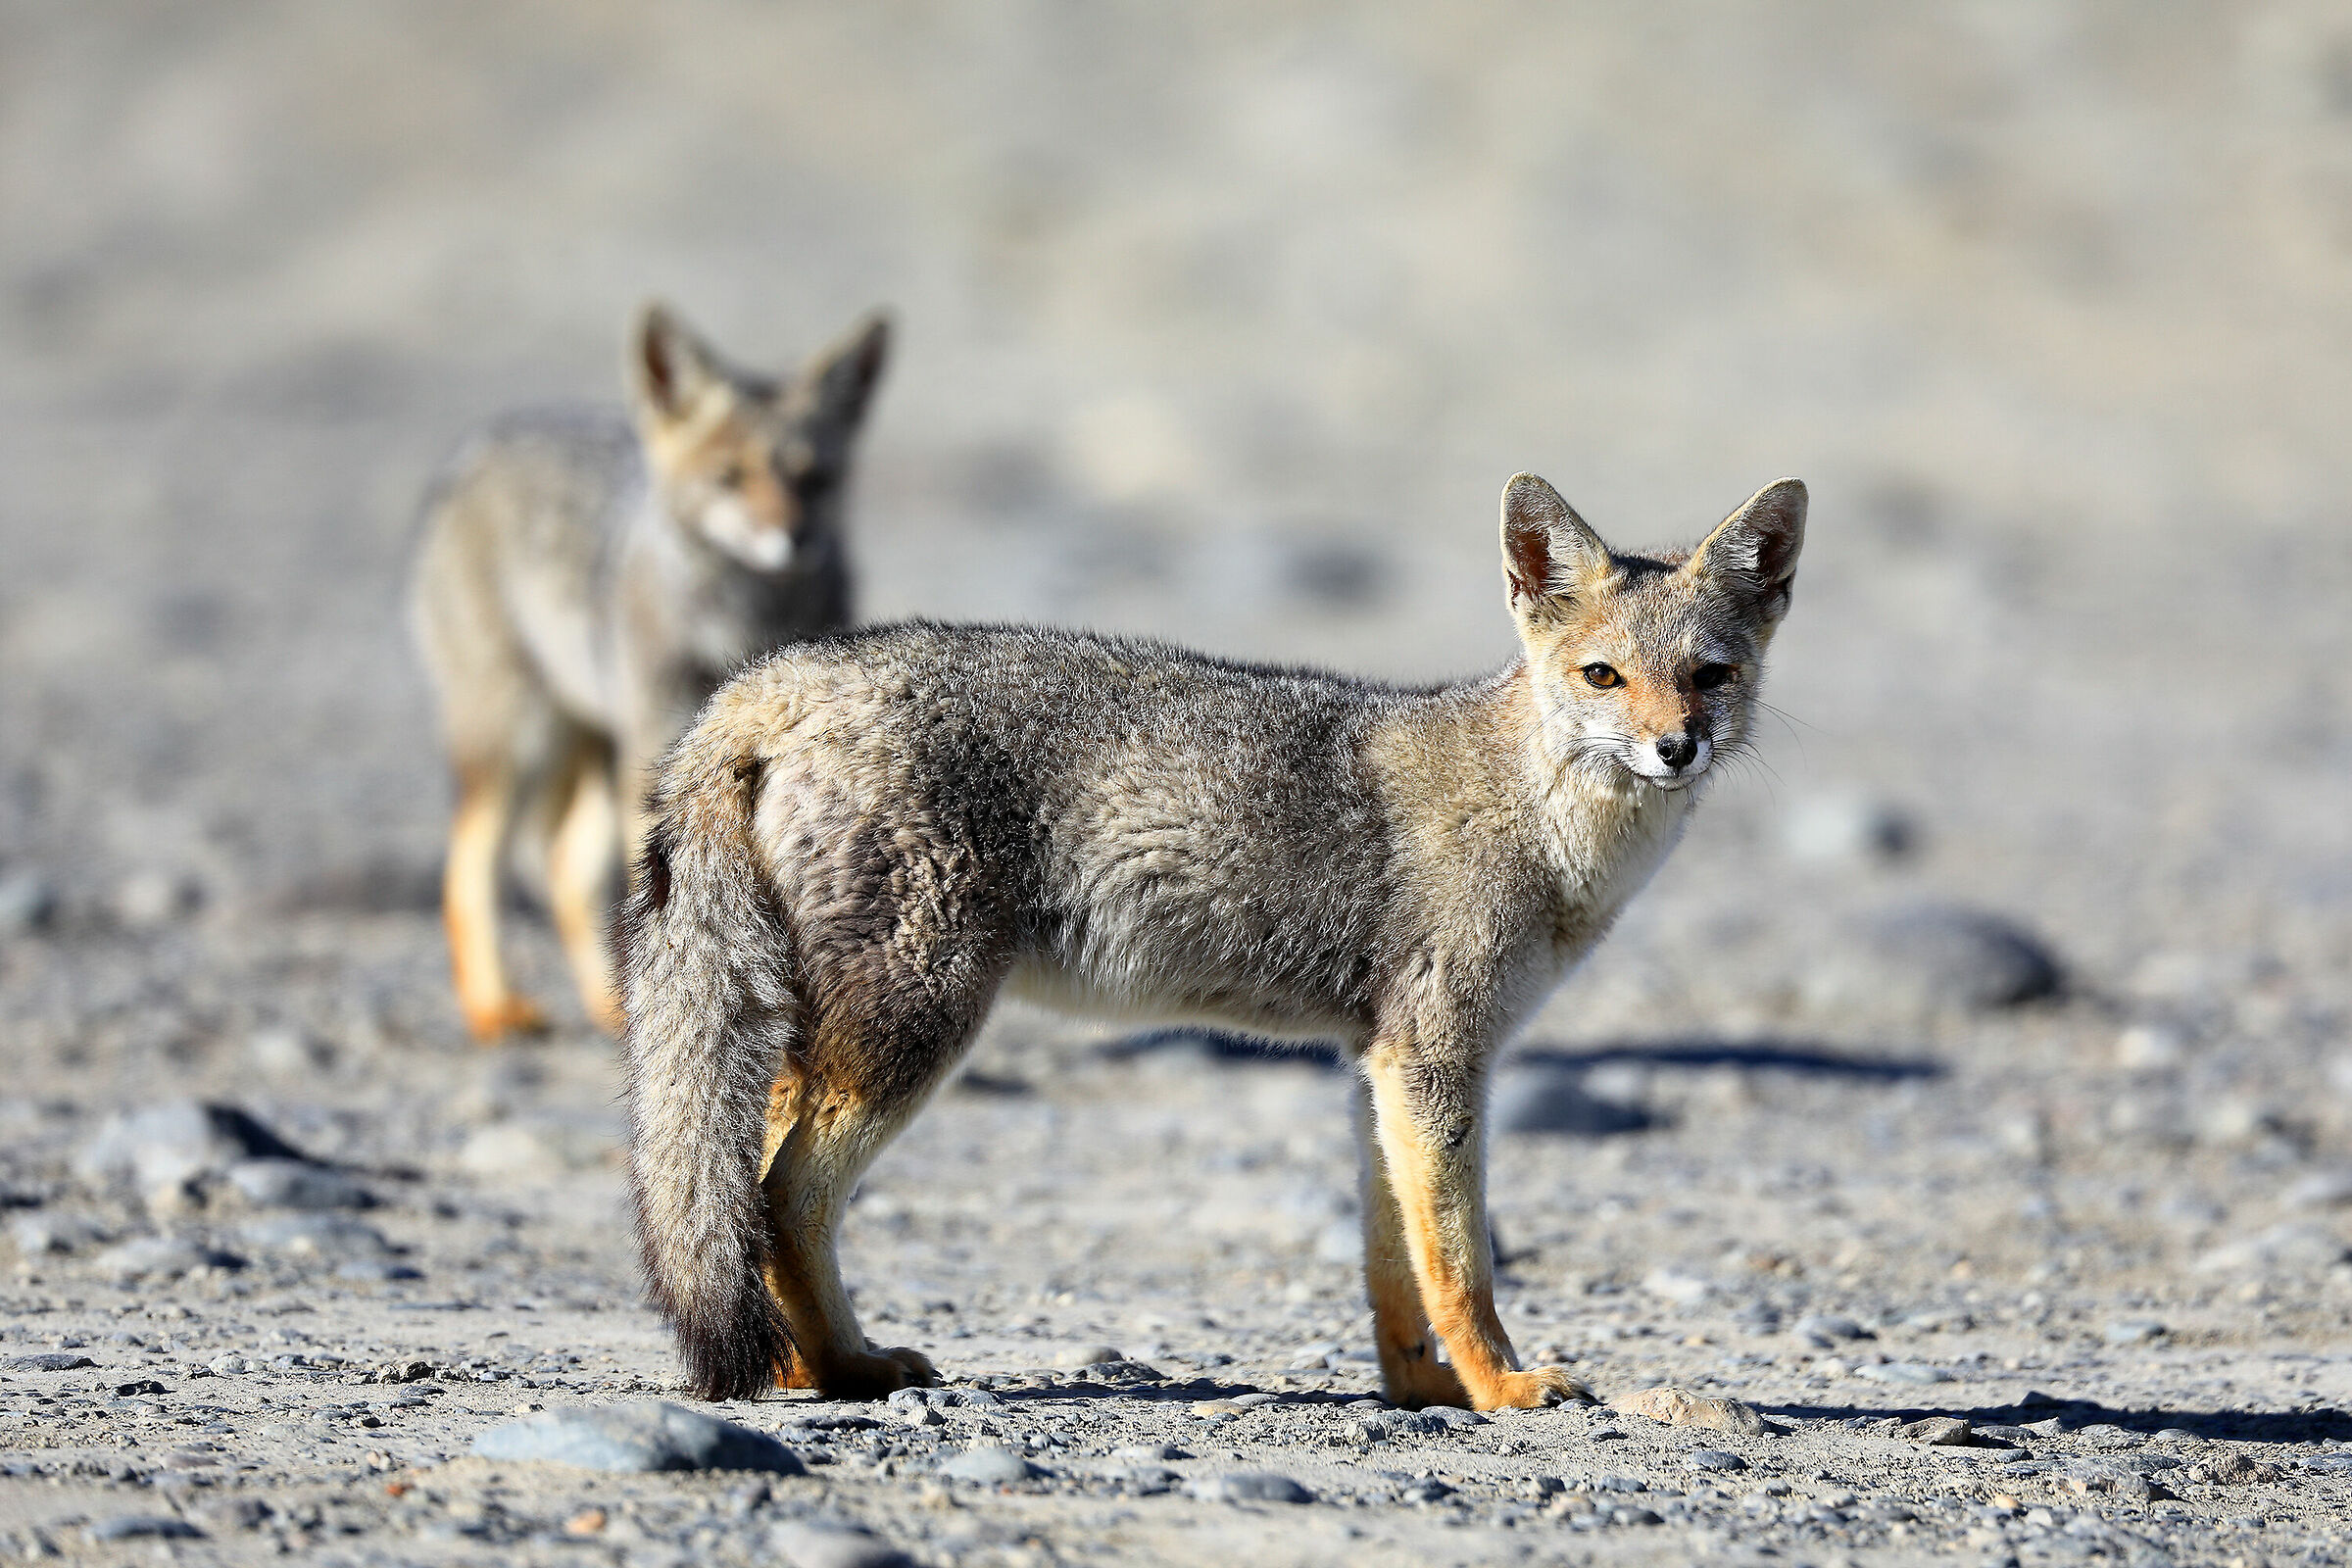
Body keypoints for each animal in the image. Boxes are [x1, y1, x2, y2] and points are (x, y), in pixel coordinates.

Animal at [410, 301, 889, 1043]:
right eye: (730, 477)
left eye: (816, 480)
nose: (795, 538)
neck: (742, 626)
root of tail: (485, 442)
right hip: (523, 747)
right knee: (471, 871)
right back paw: (495, 1008)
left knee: (567, 870)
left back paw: (608, 1006)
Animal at [620, 472, 1805, 1409]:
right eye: (1605, 676)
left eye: (1712, 674)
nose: (1677, 747)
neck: (1540, 819)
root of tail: (771, 677)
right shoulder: (1435, 1058)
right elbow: (1460, 1262)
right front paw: (1503, 1386)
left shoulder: (1381, 1065)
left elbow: (1395, 1260)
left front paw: (1423, 1390)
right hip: (914, 1027)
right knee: (783, 1195)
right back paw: (845, 1367)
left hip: (838, 1029)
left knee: (749, 1184)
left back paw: (800, 1363)